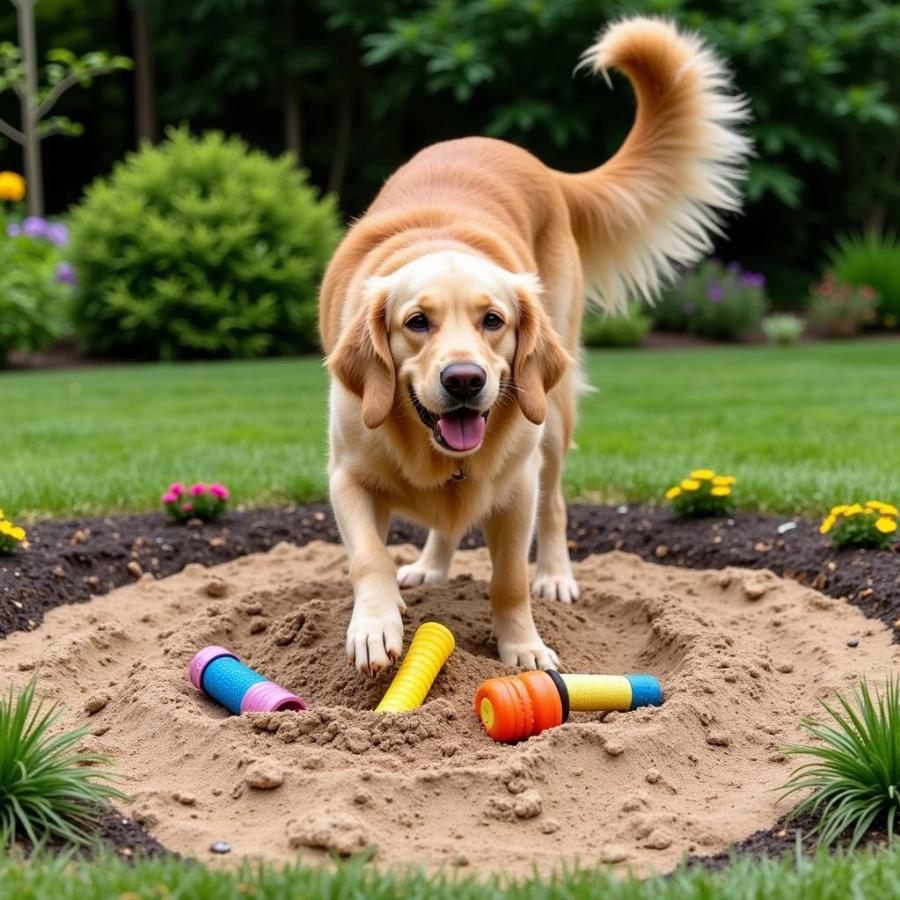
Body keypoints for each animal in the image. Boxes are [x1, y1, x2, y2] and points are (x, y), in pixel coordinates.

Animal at [320, 17, 748, 676]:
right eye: (416, 322)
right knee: (448, 523)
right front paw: (374, 626)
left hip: (553, 414)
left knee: (556, 506)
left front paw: (522, 646)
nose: (464, 380)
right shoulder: (346, 474)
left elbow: (508, 579)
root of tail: (537, 163)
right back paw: (431, 565)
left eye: (493, 320)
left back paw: (555, 575)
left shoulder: (518, 485)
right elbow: (369, 556)